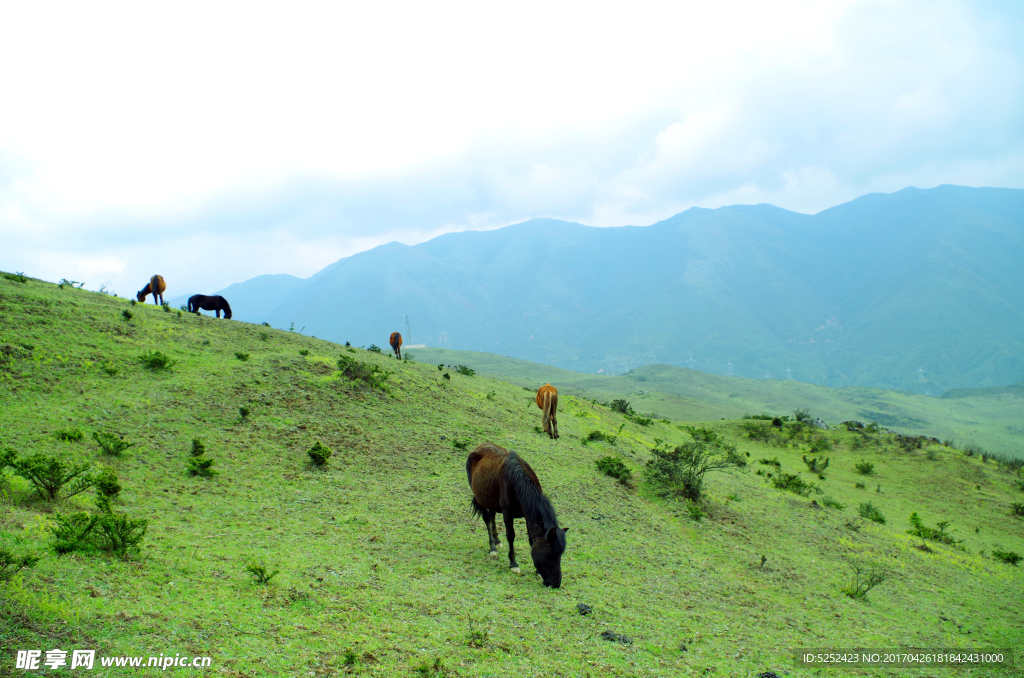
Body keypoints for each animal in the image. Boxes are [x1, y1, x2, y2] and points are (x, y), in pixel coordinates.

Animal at [466, 444, 569, 585]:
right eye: (551, 554)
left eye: (560, 554)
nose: (556, 583)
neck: (518, 482)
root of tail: (479, 446)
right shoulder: (507, 514)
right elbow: (511, 536)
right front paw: (513, 563)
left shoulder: (527, 515)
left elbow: (531, 539)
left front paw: (537, 571)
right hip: (478, 496)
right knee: (487, 518)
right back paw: (493, 547)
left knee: (492, 515)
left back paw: (497, 540)